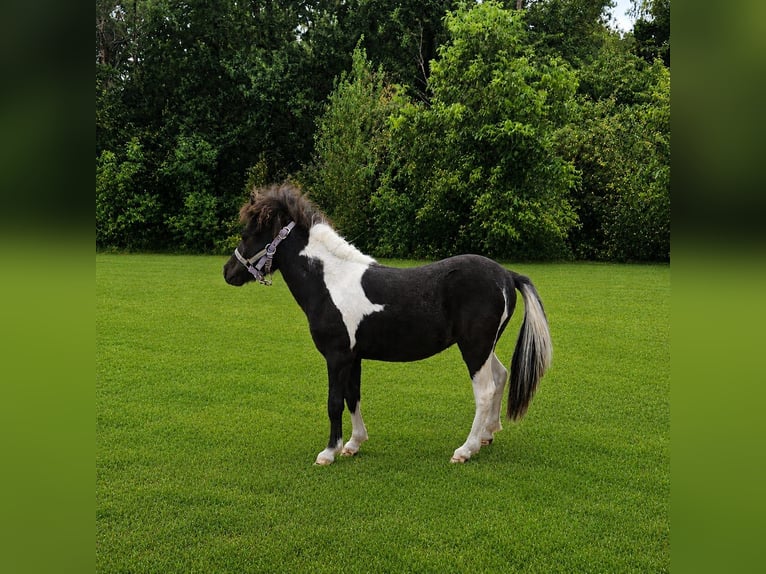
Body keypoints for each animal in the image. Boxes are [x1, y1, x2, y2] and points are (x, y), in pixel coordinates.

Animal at [223, 183, 552, 465]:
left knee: (484, 392)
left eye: (247, 234)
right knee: (501, 376)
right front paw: (353, 444)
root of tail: (507, 275)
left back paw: (465, 450)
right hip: (483, 348)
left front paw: (329, 452)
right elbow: (352, 397)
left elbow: (334, 402)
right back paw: (487, 436)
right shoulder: (353, 357)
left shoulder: (337, 356)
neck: (331, 281)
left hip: (474, 348)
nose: (228, 272)